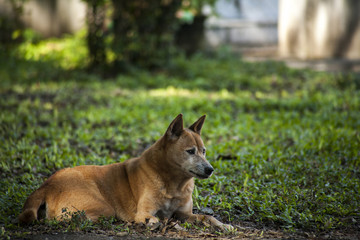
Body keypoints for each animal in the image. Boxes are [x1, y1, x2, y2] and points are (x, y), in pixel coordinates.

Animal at [18, 114, 233, 231]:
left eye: (204, 151)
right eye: (190, 151)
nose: (210, 169)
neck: (175, 184)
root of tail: (46, 184)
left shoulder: (184, 213)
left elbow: (207, 217)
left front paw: (223, 225)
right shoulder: (144, 212)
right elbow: (157, 218)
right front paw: (161, 224)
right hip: (104, 207)